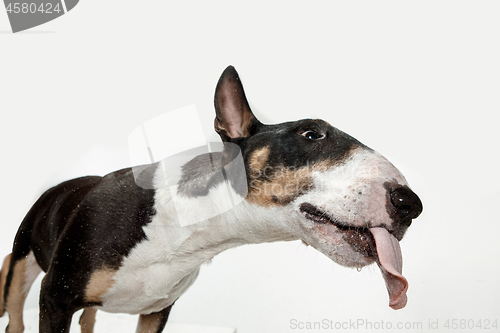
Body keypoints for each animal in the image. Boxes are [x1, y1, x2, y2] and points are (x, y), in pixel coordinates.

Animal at [0, 65, 422, 332]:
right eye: (311, 134)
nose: (410, 205)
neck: (182, 226)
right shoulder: (55, 299)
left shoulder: (157, 312)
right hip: (22, 265)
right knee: (15, 314)